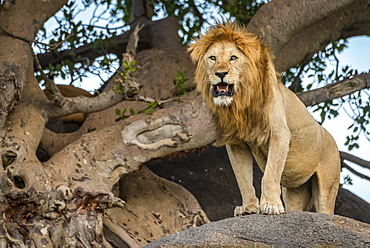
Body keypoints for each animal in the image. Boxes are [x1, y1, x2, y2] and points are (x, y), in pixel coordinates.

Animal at [189, 22, 340, 214]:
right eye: (213, 58)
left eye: (233, 58)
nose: (221, 73)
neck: (241, 102)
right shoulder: (237, 143)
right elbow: (243, 179)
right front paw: (248, 207)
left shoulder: (279, 133)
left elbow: (270, 174)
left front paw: (270, 205)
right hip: (295, 191)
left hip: (327, 187)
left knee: (325, 208)